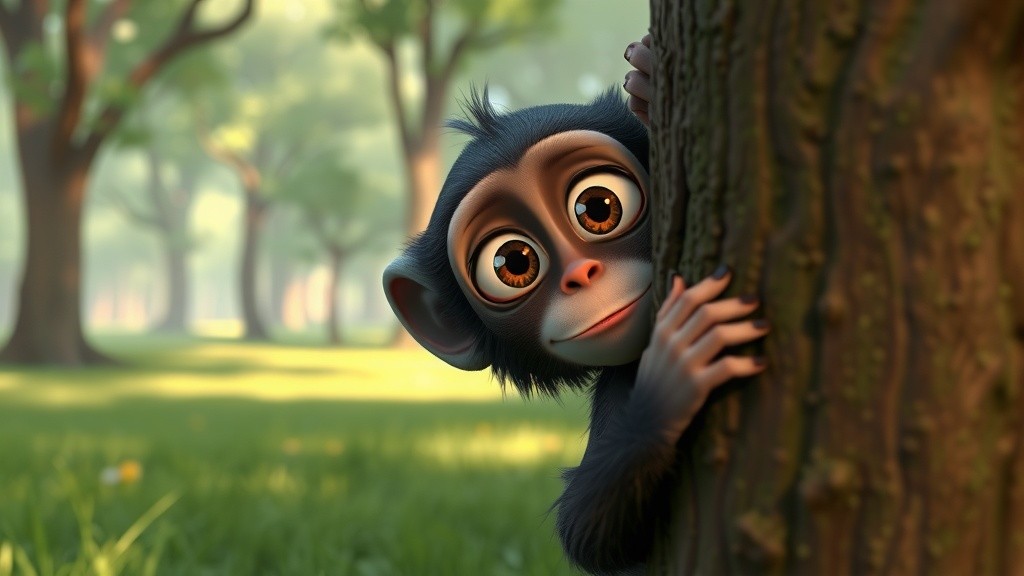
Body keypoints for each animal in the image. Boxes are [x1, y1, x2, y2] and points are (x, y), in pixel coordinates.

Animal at [382, 35, 768, 575]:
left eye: (599, 208)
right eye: (514, 262)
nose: (581, 274)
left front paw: (646, 82)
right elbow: (588, 533)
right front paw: (669, 380)